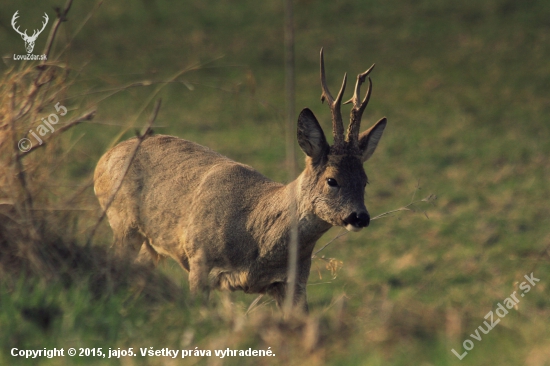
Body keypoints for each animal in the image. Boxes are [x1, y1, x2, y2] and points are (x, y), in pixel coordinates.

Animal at [94, 48, 388, 312]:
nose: (360, 217)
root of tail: (104, 158)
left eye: (365, 181)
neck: (256, 235)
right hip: (122, 220)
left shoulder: (295, 282)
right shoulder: (199, 257)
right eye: (331, 180)